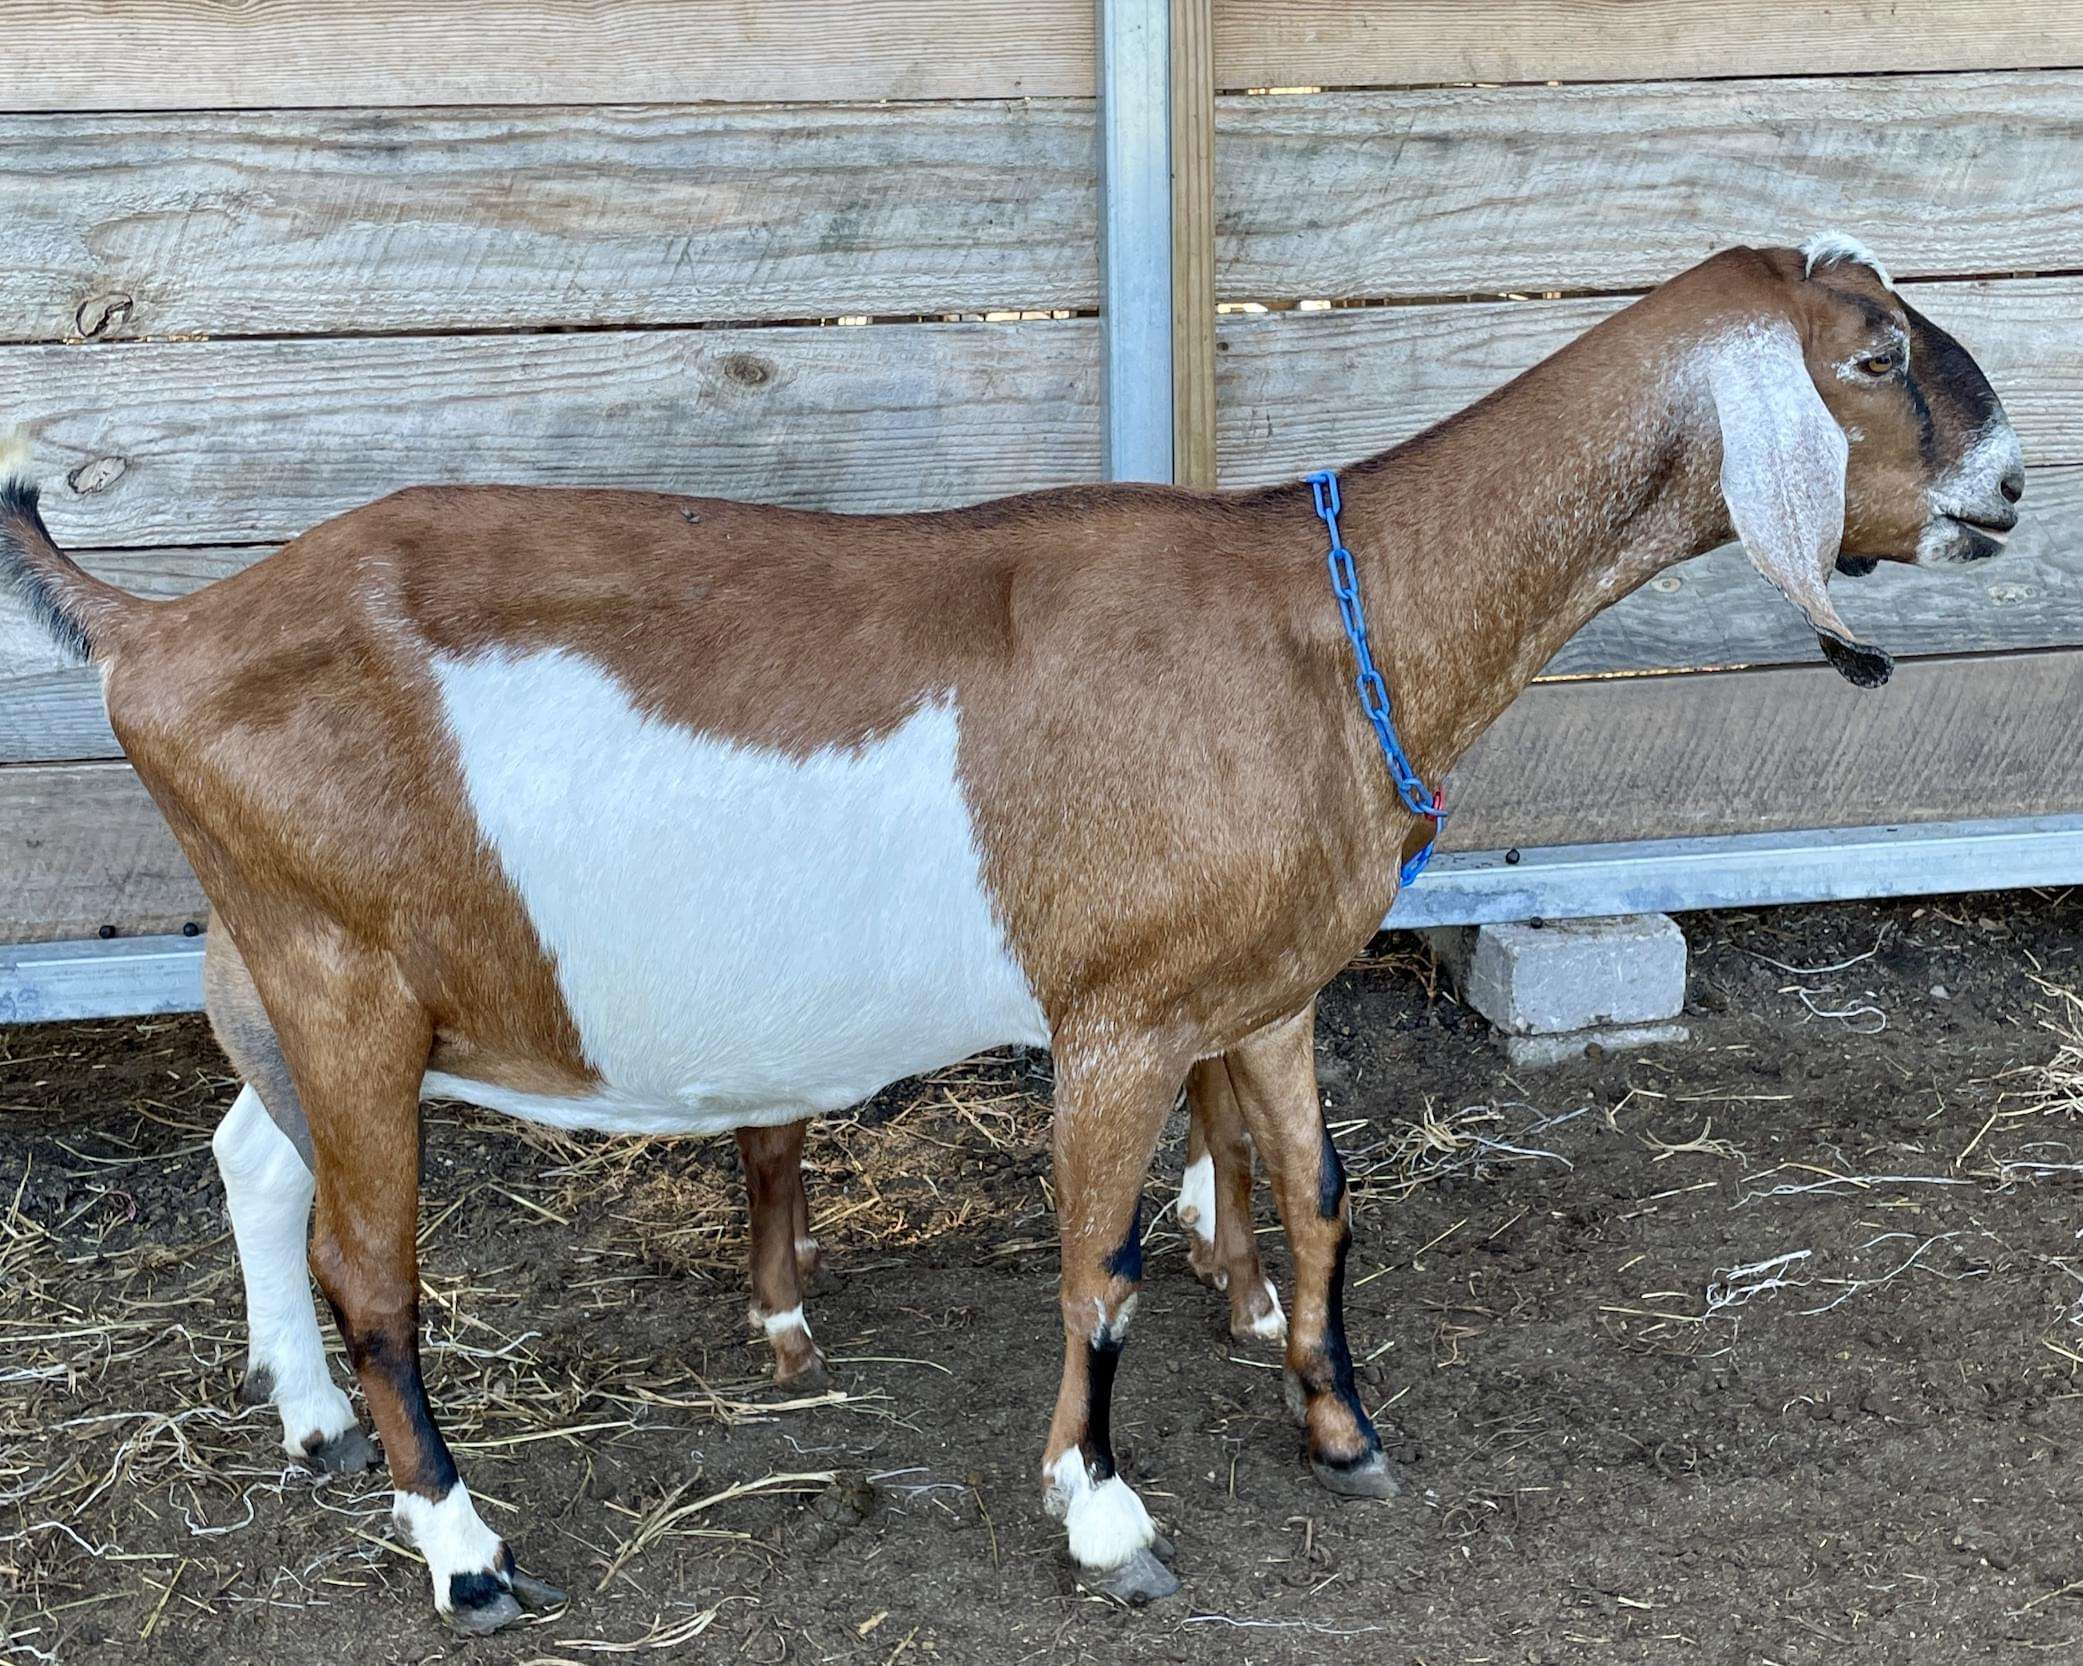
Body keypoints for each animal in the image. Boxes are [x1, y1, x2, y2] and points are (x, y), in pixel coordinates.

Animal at [0, 234, 2016, 1624]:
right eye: (1873, 354)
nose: (2005, 486)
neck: (1323, 619)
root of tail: (159, 634)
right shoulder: (1115, 1012)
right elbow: (1098, 1267)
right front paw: (1103, 1514)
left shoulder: (1262, 990)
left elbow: (1319, 1198)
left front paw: (1340, 1430)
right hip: (339, 966)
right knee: (371, 1270)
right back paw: (463, 1548)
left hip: (292, 965)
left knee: (253, 1157)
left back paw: (308, 1421)